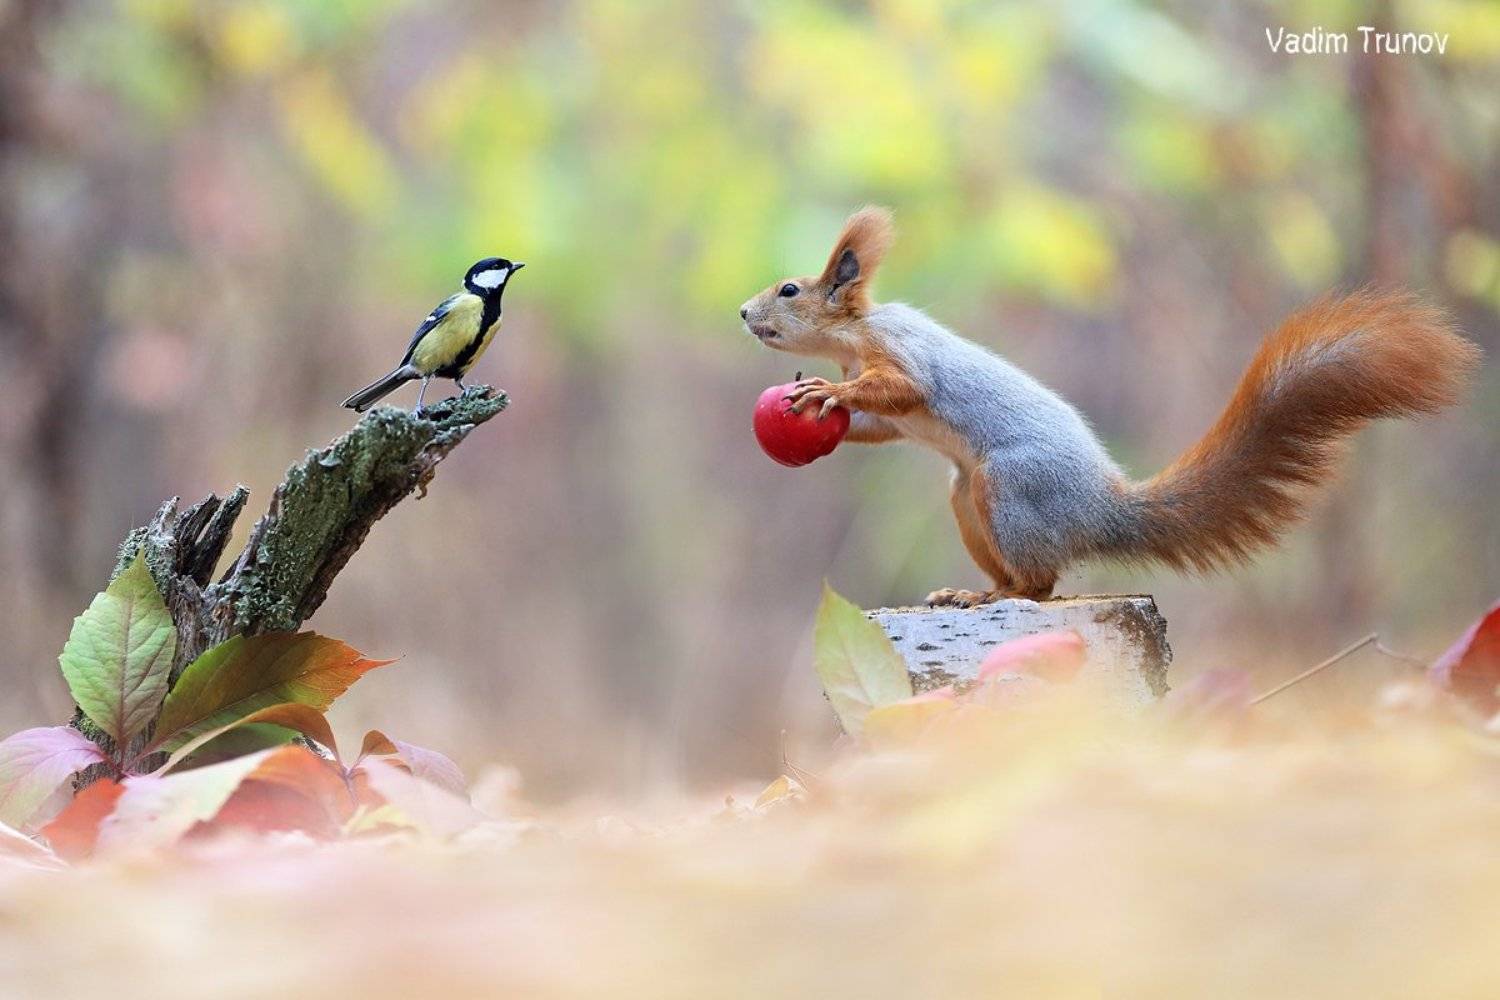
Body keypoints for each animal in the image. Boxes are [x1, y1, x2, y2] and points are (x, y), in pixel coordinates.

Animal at [739, 206, 1481, 606]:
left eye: (789, 290)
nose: (743, 312)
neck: (854, 338)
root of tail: (1102, 510)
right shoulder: (884, 406)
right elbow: (876, 423)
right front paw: (826, 412)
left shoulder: (903, 352)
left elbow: (905, 388)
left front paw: (827, 392)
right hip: (968, 496)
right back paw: (970, 591)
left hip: (1009, 487)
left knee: (1041, 586)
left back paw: (996, 594)